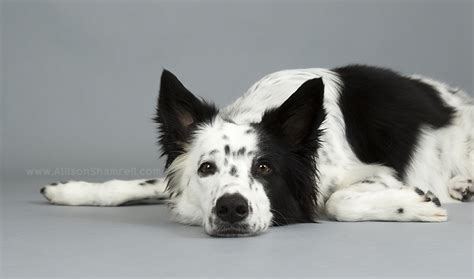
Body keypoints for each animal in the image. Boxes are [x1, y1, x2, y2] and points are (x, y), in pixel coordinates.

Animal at [41, 64, 474, 237]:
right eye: (206, 168)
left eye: (264, 168)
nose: (231, 209)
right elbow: (140, 185)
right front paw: (71, 190)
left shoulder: (374, 174)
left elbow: (339, 201)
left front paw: (419, 203)